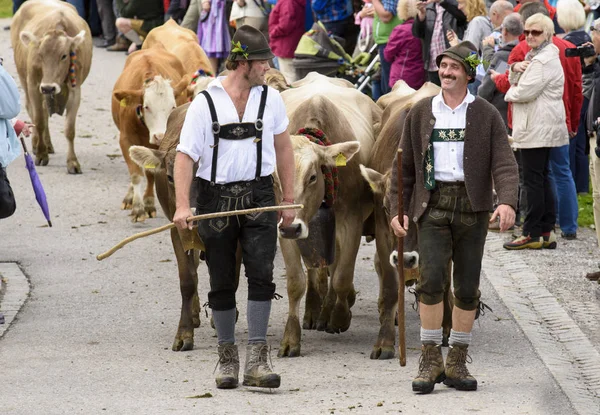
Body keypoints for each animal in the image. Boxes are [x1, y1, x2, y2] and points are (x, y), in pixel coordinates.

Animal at [11, 0, 92, 173]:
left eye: (64, 55)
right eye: (40, 55)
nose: (49, 88)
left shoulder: (75, 90)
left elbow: (69, 129)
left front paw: (72, 162)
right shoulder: (35, 86)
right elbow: (39, 120)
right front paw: (41, 154)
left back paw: (47, 144)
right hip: (24, 79)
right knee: (34, 110)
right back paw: (38, 144)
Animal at [111, 47, 189, 223]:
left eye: (173, 107)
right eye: (146, 106)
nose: (159, 136)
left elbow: (151, 173)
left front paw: (147, 204)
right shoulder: (125, 139)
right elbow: (136, 175)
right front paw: (137, 208)